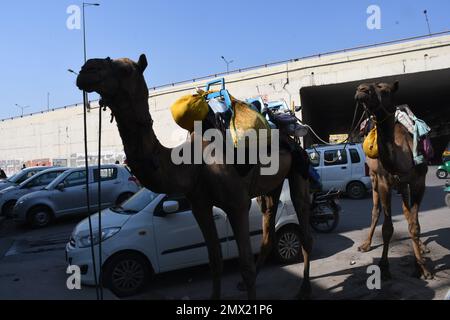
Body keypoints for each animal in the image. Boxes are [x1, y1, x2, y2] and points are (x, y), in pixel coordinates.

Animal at [75, 55, 312, 300]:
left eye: (125, 70)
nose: (86, 69)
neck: (193, 164)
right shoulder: (199, 205)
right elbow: (214, 260)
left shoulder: (237, 204)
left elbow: (244, 264)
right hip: (270, 186)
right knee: (268, 228)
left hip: (298, 169)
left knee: (304, 226)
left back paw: (304, 289)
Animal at [356, 81, 432, 278]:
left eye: (385, 89)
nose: (361, 90)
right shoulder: (384, 182)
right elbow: (387, 228)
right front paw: (384, 266)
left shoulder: (418, 183)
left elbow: (414, 224)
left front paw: (422, 267)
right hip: (374, 179)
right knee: (375, 211)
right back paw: (365, 245)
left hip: (403, 185)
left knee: (407, 213)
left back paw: (422, 247)